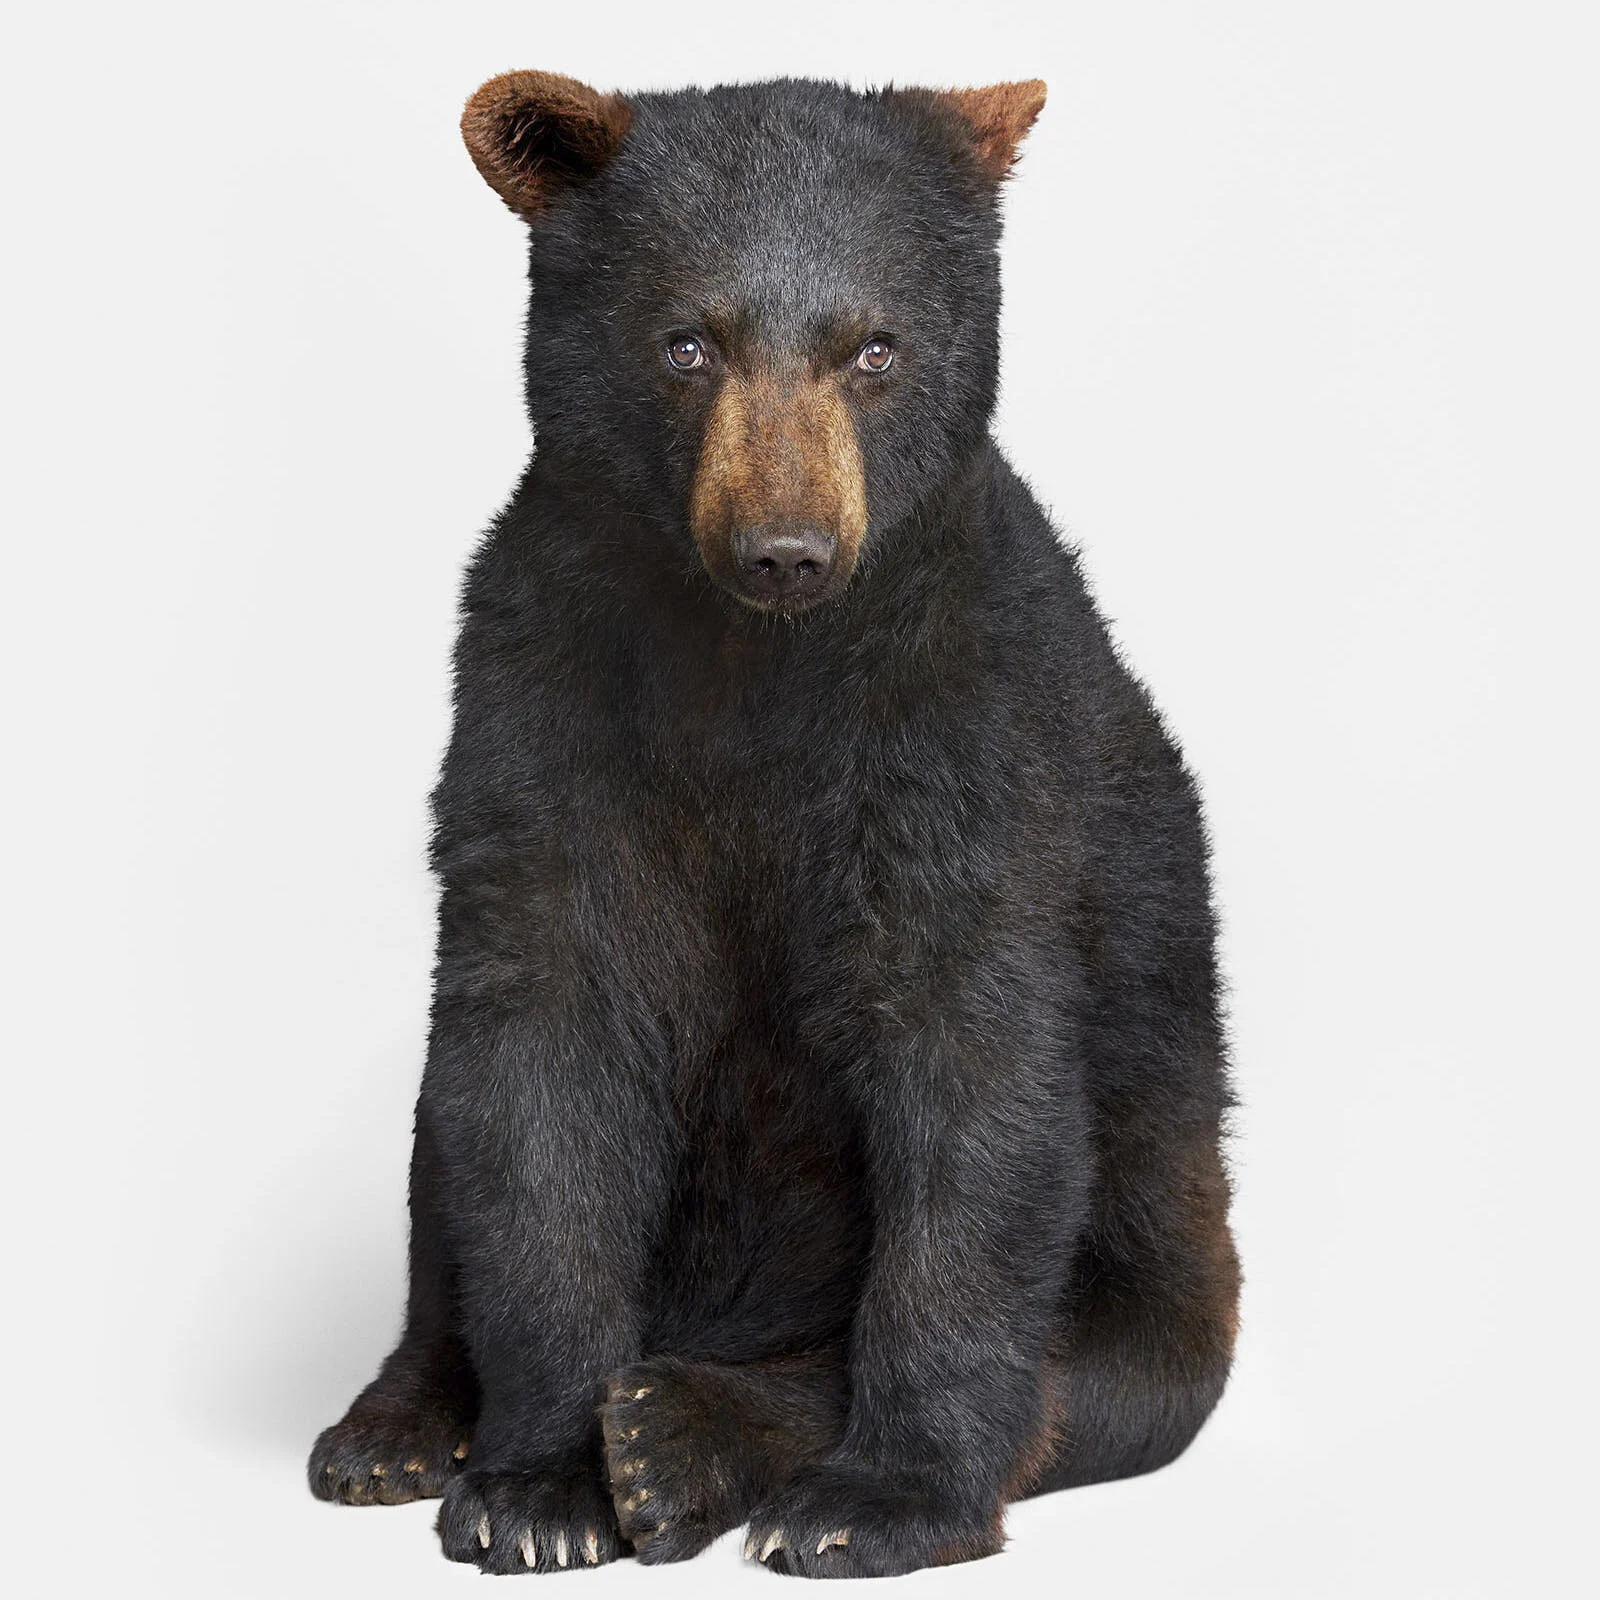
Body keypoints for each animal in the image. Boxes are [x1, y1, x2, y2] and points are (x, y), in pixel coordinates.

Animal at [307, 71, 1240, 1580]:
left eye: (875, 348)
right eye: (688, 343)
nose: (787, 549)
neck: (755, 664)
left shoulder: (964, 727)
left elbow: (970, 1065)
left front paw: (880, 1499)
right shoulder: (542, 696)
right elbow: (541, 1058)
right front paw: (538, 1482)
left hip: (1169, 1208)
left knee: (1106, 1369)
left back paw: (691, 1429)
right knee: (444, 1151)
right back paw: (400, 1423)